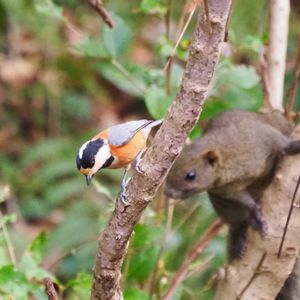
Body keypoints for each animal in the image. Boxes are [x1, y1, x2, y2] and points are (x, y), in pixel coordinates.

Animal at [165, 110, 300, 300]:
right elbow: (248, 202)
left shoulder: (264, 137)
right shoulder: (228, 191)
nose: (167, 192)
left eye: (190, 175)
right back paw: (242, 234)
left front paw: (294, 146)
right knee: (239, 222)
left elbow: (282, 144)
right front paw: (257, 214)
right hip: (224, 206)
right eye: (171, 168)